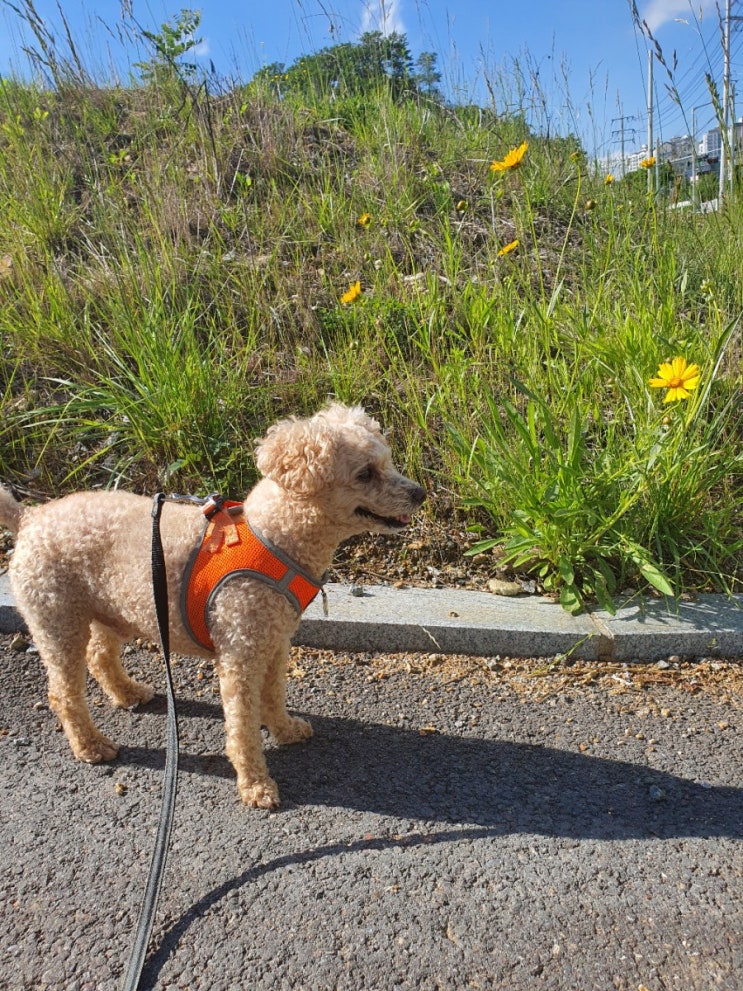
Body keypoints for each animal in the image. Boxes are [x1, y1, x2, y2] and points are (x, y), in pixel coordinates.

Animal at [0, 403, 425, 808]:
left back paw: (128, 693)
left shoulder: (275, 642)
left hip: (110, 609)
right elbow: (242, 726)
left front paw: (286, 730)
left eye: (387, 461)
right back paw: (91, 745)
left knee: (100, 656)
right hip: (56, 620)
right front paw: (255, 785)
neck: (275, 537)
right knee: (64, 693)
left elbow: (274, 695)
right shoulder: (239, 654)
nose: (420, 493)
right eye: (365, 473)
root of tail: (29, 517)